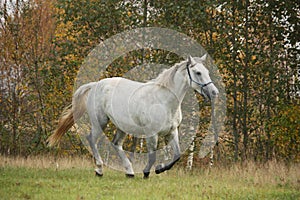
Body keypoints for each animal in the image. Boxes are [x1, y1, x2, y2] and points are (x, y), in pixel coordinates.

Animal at [48, 54, 219, 178]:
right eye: (198, 73)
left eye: (207, 72)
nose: (214, 93)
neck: (163, 101)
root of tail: (96, 85)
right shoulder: (152, 134)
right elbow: (152, 156)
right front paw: (147, 172)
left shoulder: (172, 132)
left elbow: (176, 155)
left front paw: (159, 169)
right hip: (100, 122)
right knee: (91, 139)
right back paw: (99, 170)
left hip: (122, 127)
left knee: (116, 144)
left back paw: (129, 172)